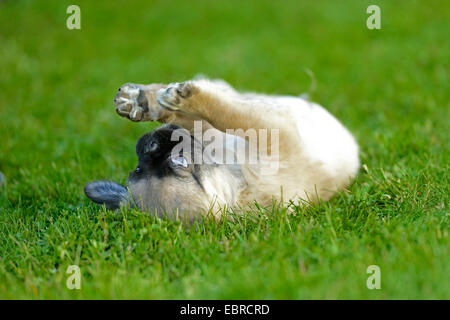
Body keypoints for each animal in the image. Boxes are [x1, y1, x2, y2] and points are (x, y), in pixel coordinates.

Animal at [83, 79, 358, 221]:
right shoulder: (273, 131)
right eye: (180, 161)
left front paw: (145, 103)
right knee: (228, 95)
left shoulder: (208, 132)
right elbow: (229, 113)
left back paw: (141, 99)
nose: (148, 143)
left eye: (137, 168)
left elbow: (197, 118)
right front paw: (182, 98)